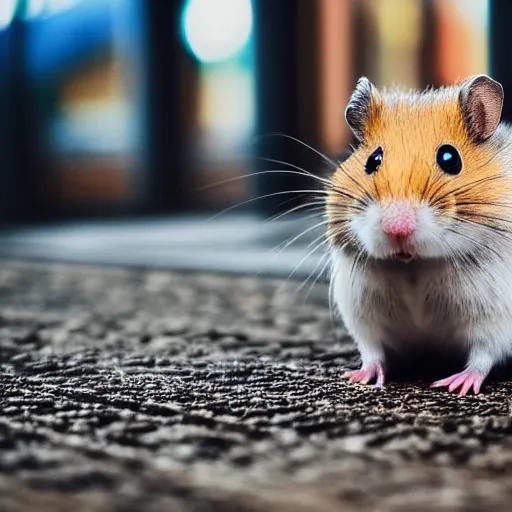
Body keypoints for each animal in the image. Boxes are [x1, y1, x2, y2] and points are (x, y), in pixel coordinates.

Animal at [328, 74, 512, 396]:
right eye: (373, 160)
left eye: (450, 158)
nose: (396, 226)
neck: (414, 264)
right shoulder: (362, 315)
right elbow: (372, 351)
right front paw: (357, 377)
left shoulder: (496, 317)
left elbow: (483, 355)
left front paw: (454, 385)